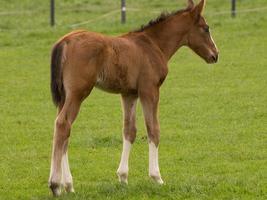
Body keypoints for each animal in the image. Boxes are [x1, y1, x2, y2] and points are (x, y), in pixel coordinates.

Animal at [48, 0, 220, 196]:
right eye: (206, 28)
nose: (215, 54)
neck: (153, 45)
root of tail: (65, 41)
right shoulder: (149, 90)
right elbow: (153, 129)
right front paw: (156, 177)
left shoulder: (129, 94)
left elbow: (129, 131)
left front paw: (123, 177)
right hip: (78, 93)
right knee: (63, 124)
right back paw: (56, 184)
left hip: (65, 96)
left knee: (63, 129)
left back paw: (68, 185)